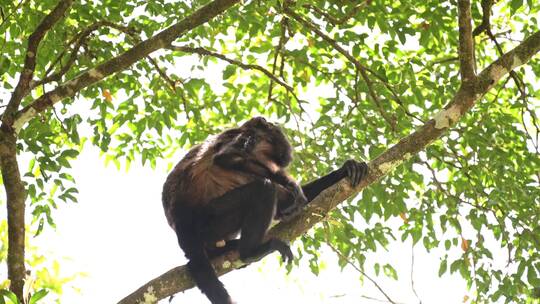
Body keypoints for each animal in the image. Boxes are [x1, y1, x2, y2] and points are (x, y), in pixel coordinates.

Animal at [162, 117, 370, 304]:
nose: (249, 141)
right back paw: (250, 252)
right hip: (208, 219)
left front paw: (346, 169)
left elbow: (285, 203)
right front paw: (291, 183)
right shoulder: (237, 137)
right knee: (262, 188)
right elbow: (225, 158)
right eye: (252, 138)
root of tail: (180, 226)